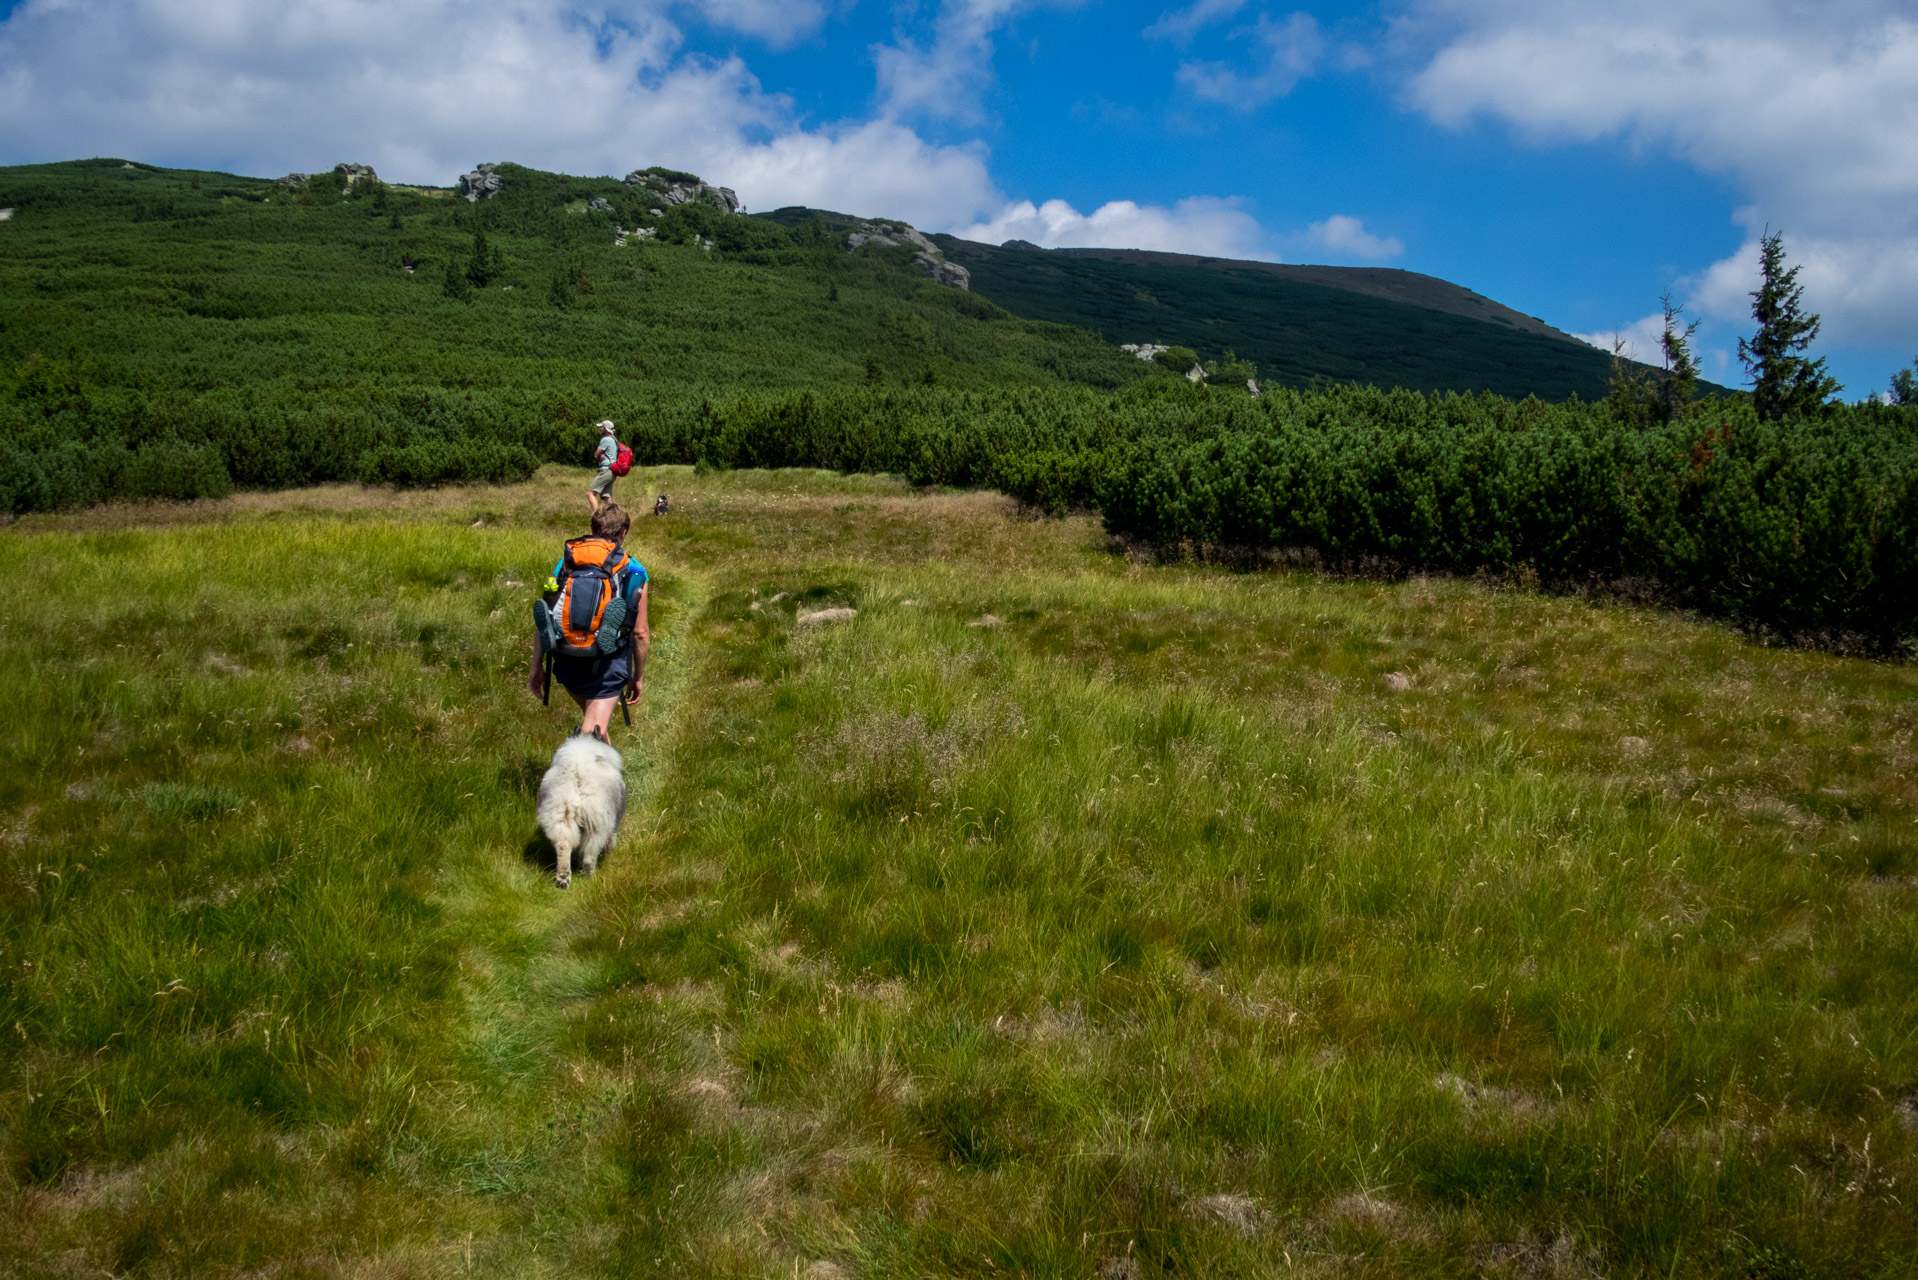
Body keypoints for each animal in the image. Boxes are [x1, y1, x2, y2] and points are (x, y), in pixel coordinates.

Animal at [533, 729, 629, 890]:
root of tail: (579, 774)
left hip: (560, 815)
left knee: (563, 846)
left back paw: (563, 878)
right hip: (596, 825)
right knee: (589, 855)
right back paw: (590, 876)